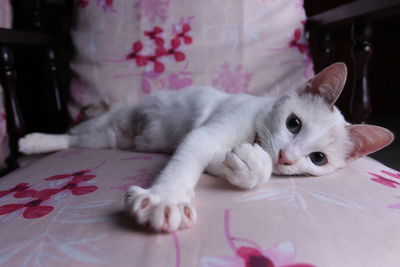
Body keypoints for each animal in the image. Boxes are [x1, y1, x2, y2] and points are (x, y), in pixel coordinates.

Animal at [18, 62, 394, 232]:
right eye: (293, 124)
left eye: (318, 158)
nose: (285, 157)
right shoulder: (205, 135)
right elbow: (186, 162)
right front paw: (166, 199)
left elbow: (235, 163)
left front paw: (250, 165)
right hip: (109, 124)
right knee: (74, 135)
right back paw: (33, 142)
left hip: (109, 139)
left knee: (84, 139)